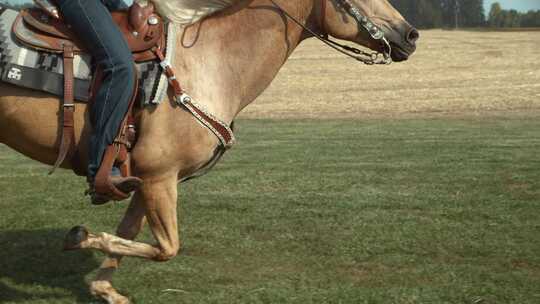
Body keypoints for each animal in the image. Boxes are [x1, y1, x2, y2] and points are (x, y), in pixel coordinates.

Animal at [0, 0, 418, 302]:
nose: (411, 34)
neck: (212, 62)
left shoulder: (147, 180)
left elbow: (131, 234)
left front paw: (104, 288)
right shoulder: (160, 177)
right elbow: (167, 247)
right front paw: (79, 237)